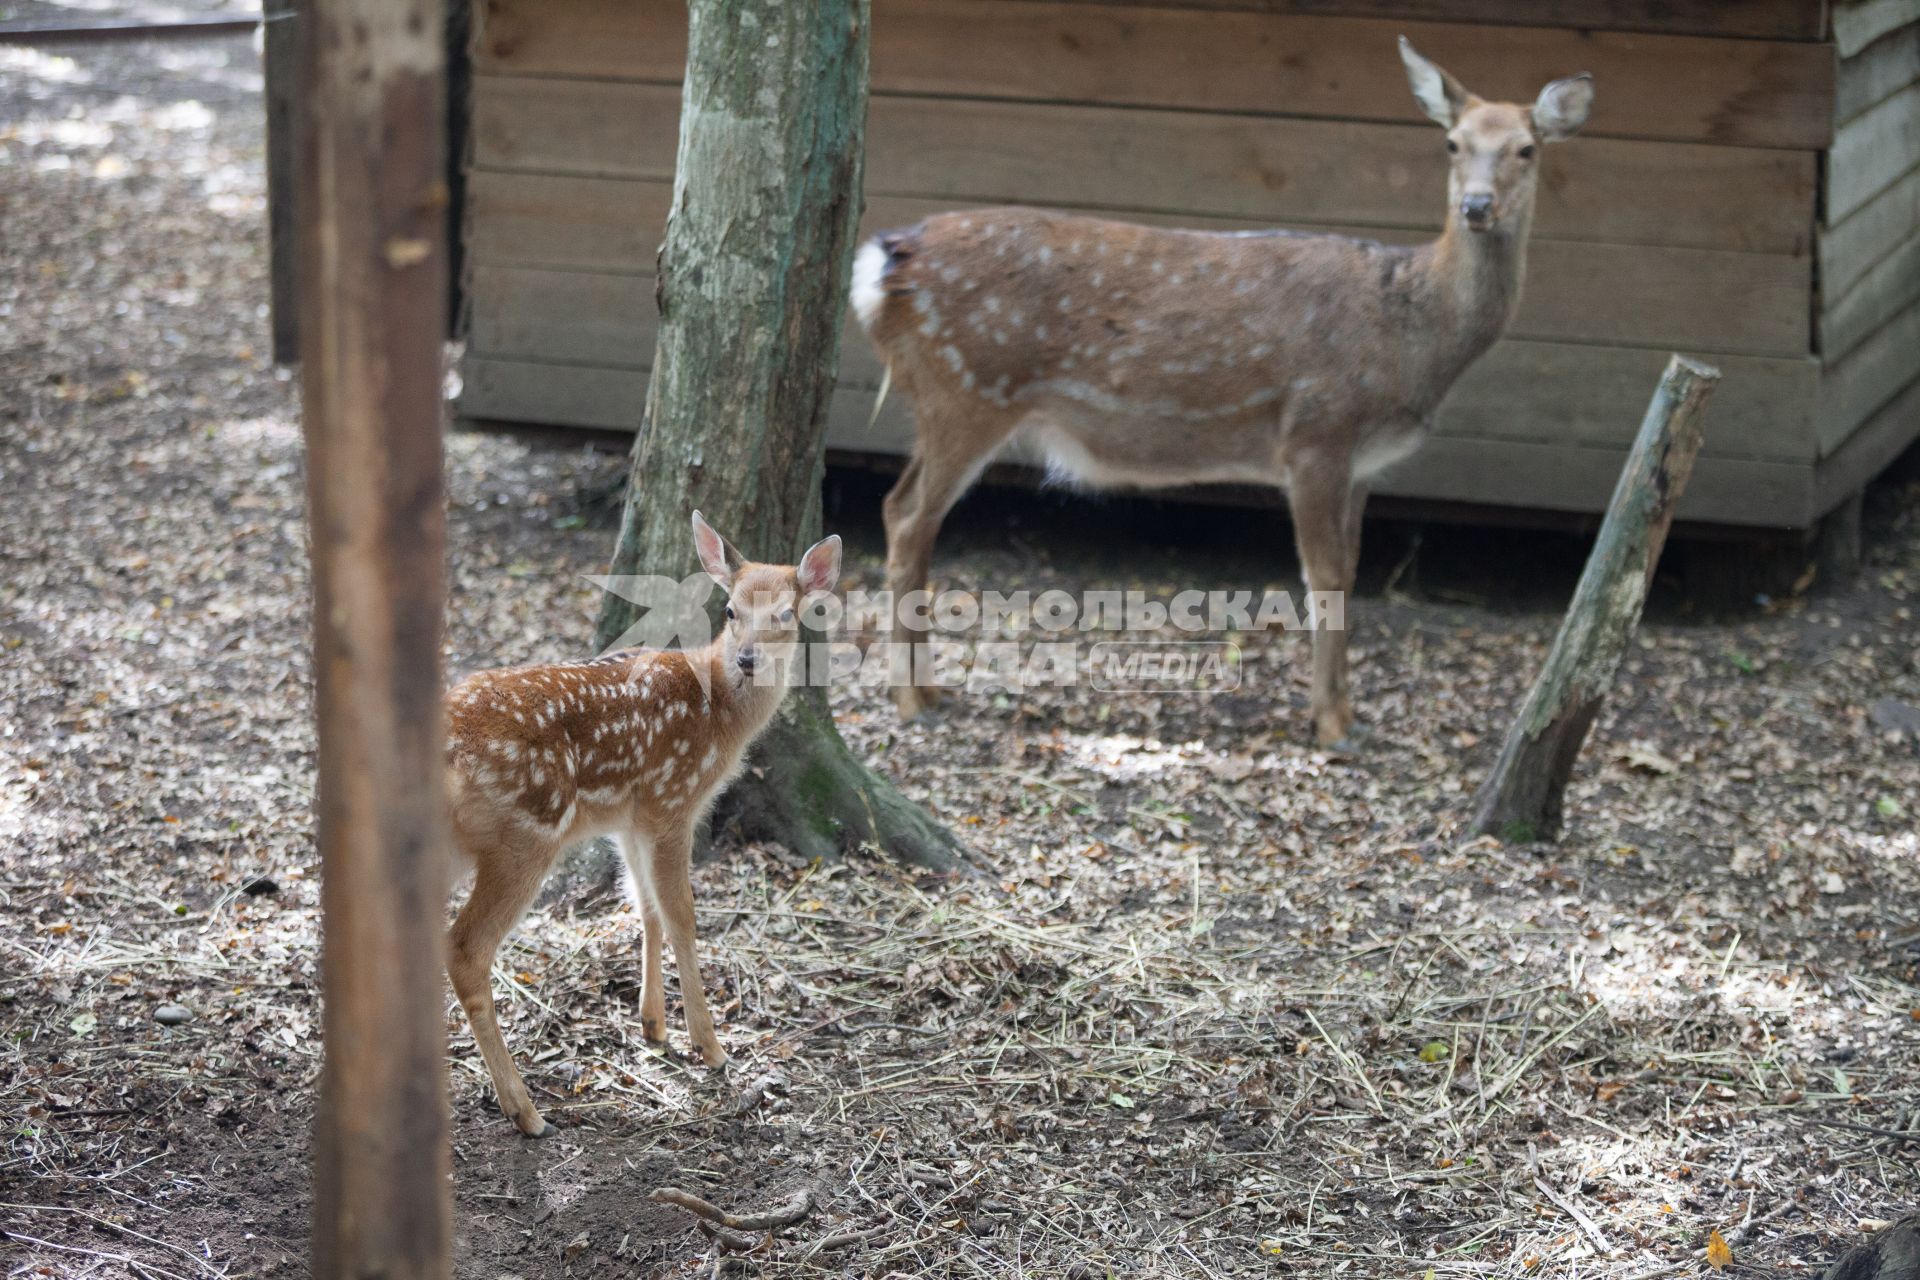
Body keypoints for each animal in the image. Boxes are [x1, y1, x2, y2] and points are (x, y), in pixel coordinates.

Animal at [453, 514, 844, 1136]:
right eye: (730, 609)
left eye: (786, 613)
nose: (748, 659)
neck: (719, 716)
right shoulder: (672, 800)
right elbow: (682, 914)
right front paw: (710, 1046)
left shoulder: (630, 818)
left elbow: (645, 907)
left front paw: (654, 1025)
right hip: (522, 839)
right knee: (465, 948)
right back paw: (524, 1110)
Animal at [852, 40, 1589, 744]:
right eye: (1452, 143)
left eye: (1527, 148)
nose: (1476, 206)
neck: (1411, 334)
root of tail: (882, 264)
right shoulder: (1315, 434)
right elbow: (1322, 578)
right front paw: (1330, 726)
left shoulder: (1362, 463)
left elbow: (1351, 574)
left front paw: (1346, 714)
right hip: (969, 389)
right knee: (908, 519)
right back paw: (912, 701)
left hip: (946, 396)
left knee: (900, 509)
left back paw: (928, 691)